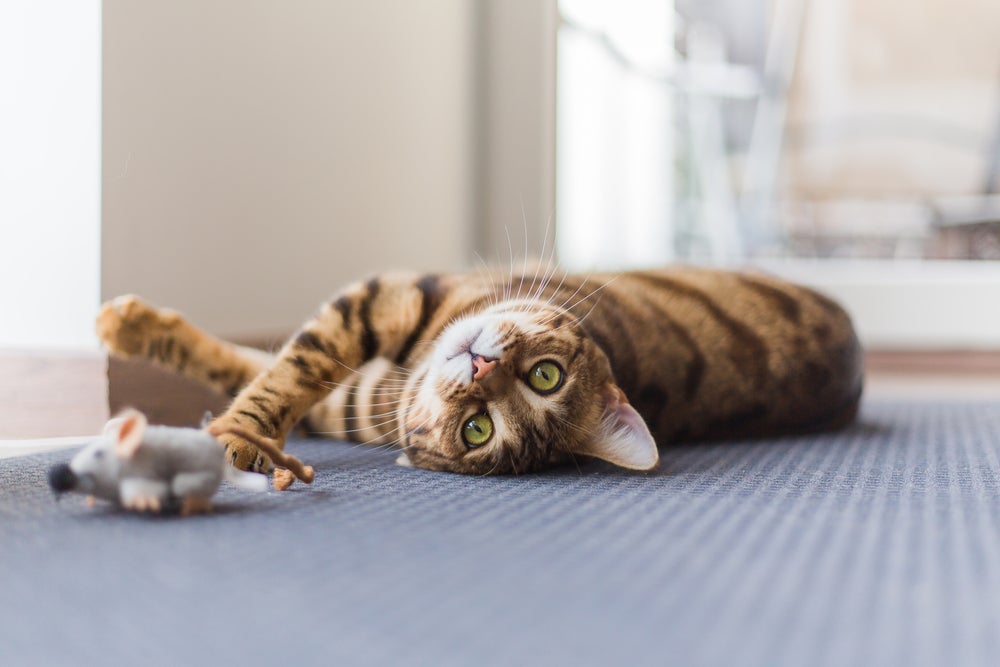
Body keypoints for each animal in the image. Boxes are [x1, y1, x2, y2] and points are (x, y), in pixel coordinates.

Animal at [97, 266, 864, 474]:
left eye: (477, 429)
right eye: (547, 375)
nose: (480, 367)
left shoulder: (353, 378)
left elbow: (273, 372)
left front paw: (235, 436)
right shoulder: (384, 301)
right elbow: (270, 364)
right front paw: (128, 325)